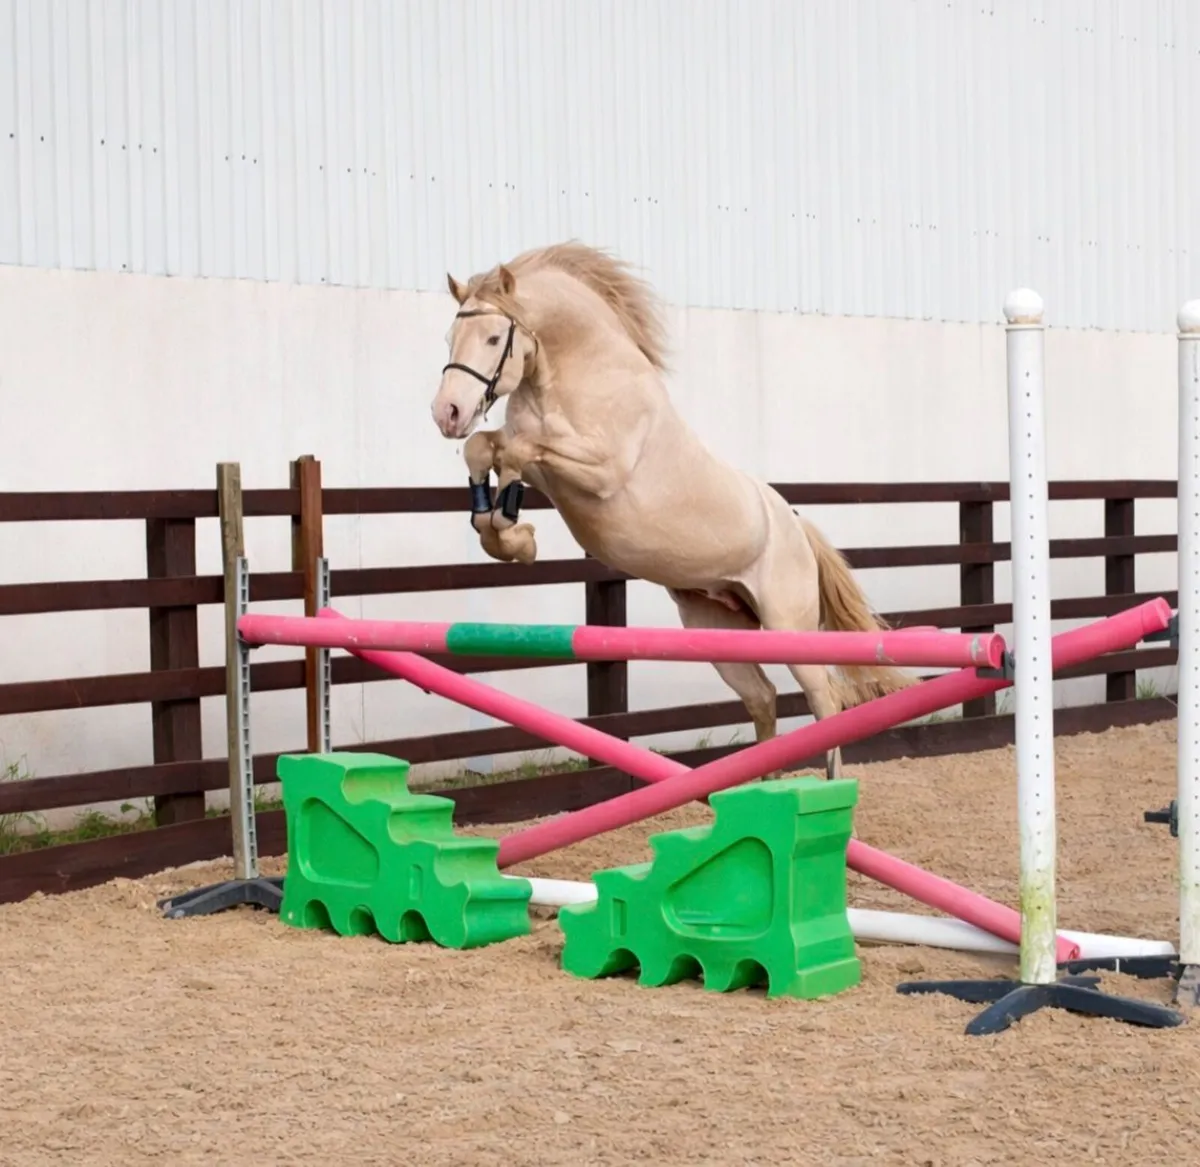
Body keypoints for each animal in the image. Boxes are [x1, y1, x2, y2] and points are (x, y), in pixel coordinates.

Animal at [430, 241, 914, 780]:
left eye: (495, 338)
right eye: (451, 337)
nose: (446, 413)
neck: (578, 373)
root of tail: (795, 525)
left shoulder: (598, 469)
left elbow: (515, 454)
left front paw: (516, 535)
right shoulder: (542, 468)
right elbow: (484, 450)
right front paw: (505, 536)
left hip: (790, 627)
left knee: (824, 699)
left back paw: (830, 788)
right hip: (716, 627)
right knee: (762, 696)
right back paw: (765, 785)